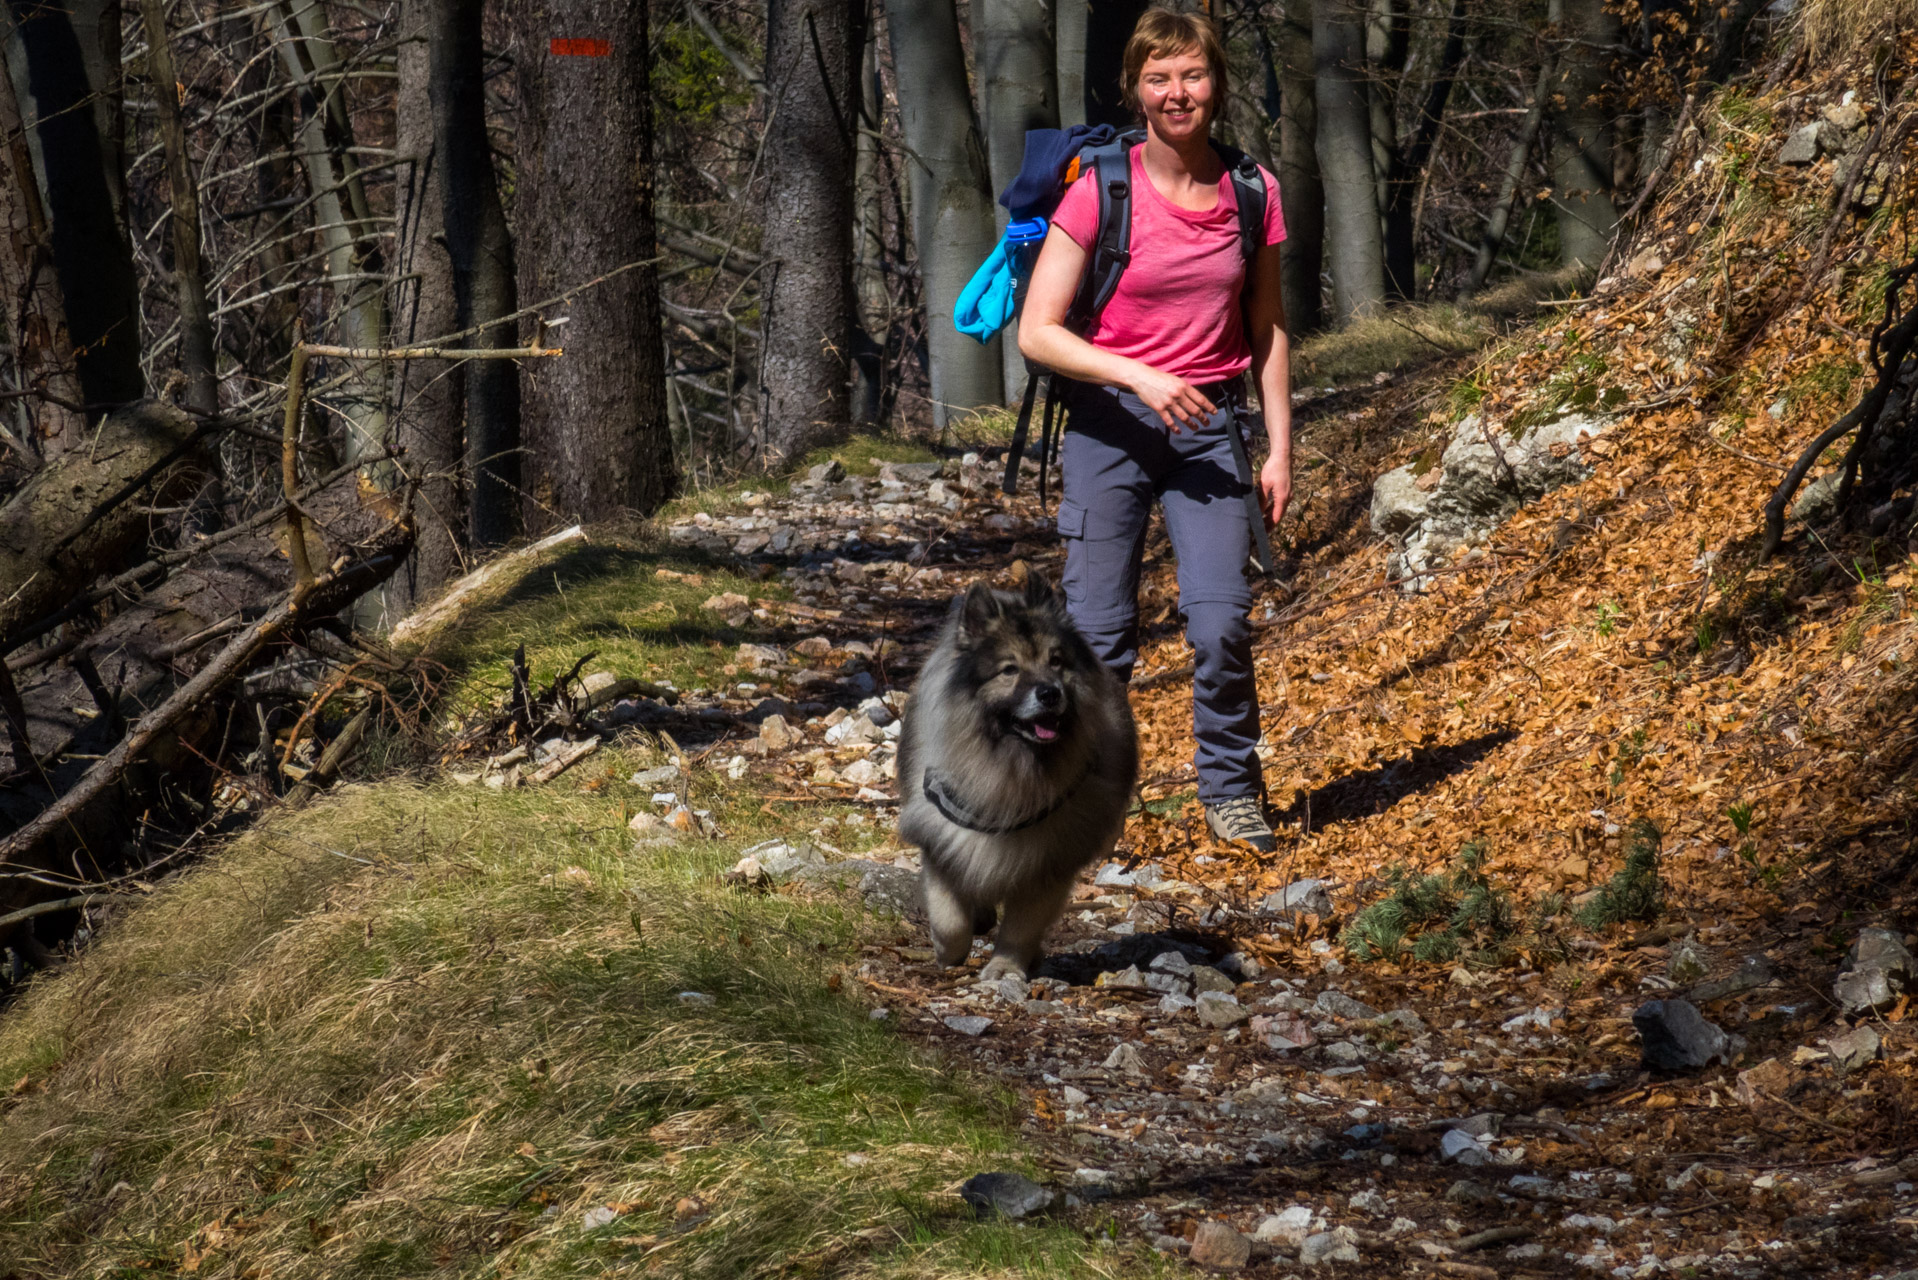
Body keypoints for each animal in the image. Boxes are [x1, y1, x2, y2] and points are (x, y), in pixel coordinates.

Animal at [897, 575, 1135, 990]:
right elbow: (950, 920)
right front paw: (948, 954)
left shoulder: (1047, 865)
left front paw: (1006, 968)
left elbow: (1021, 928)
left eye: (1056, 662)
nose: (1050, 693)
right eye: (1009, 670)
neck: (1008, 767)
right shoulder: (940, 840)